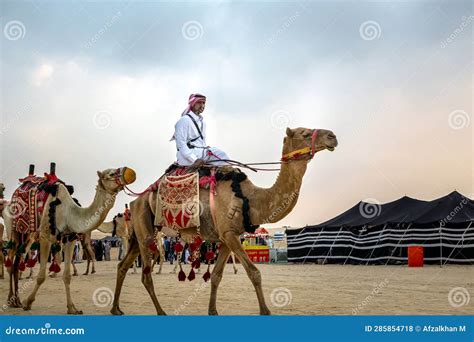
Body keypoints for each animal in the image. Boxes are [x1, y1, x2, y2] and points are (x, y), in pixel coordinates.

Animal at [3, 167, 137, 314]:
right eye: (111, 174)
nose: (130, 172)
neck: (68, 212)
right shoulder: (45, 237)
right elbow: (41, 276)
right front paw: (28, 303)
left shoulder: (69, 239)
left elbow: (67, 276)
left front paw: (72, 308)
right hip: (14, 229)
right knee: (11, 262)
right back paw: (12, 300)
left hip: (29, 236)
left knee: (16, 263)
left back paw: (16, 300)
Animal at [112, 127, 336, 314]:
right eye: (304, 133)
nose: (332, 136)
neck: (249, 198)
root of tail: (136, 200)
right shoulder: (229, 234)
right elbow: (254, 273)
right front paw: (265, 311)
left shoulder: (228, 236)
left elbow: (217, 276)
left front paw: (213, 311)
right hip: (145, 231)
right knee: (146, 275)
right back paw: (160, 312)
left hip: (138, 233)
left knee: (122, 265)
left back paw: (116, 309)